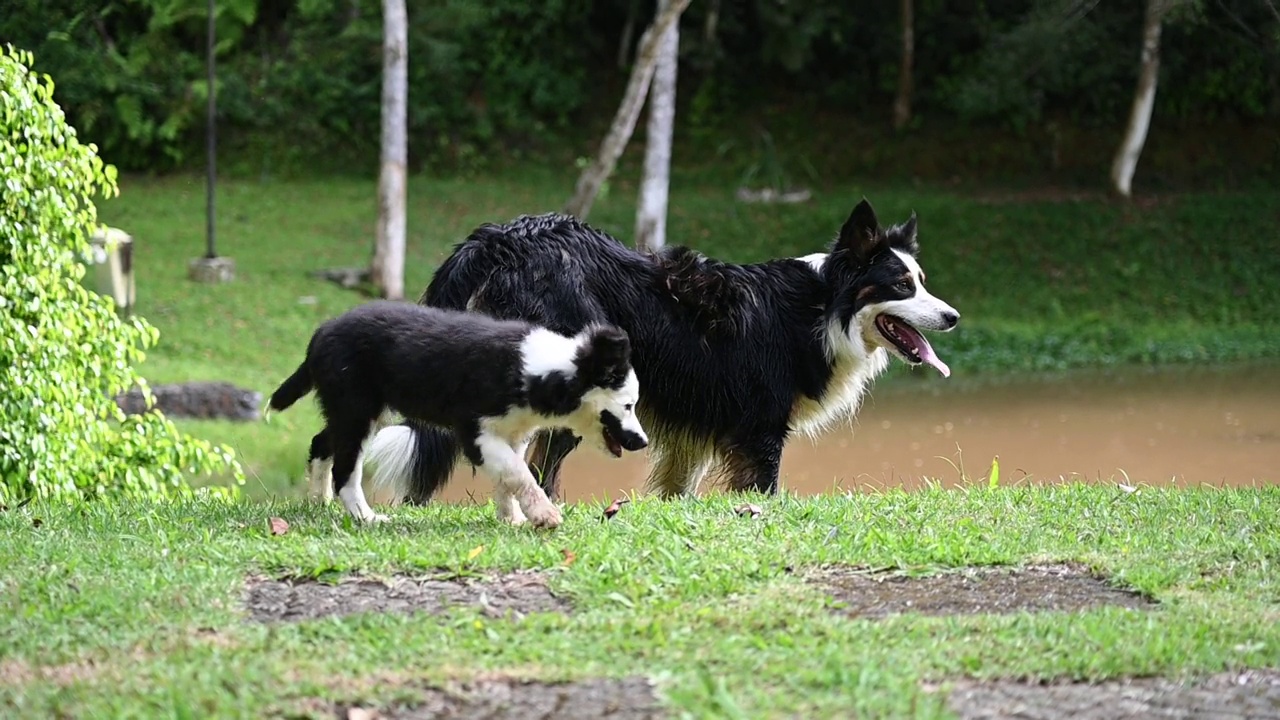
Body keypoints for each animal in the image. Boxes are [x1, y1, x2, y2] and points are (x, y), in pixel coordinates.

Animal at [270, 299, 650, 525]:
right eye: (628, 405)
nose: (643, 443)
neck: (541, 372)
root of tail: (322, 332)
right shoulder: (475, 432)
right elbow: (518, 474)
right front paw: (543, 514)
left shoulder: (513, 434)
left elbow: (508, 477)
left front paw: (512, 518)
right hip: (357, 411)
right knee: (346, 470)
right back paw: (367, 517)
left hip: (355, 410)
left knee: (321, 442)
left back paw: (318, 501)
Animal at [366, 196, 957, 504]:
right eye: (902, 286)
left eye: (923, 281)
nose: (952, 317)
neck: (820, 309)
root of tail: (500, 238)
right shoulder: (761, 429)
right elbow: (762, 491)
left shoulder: (695, 436)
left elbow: (677, 489)